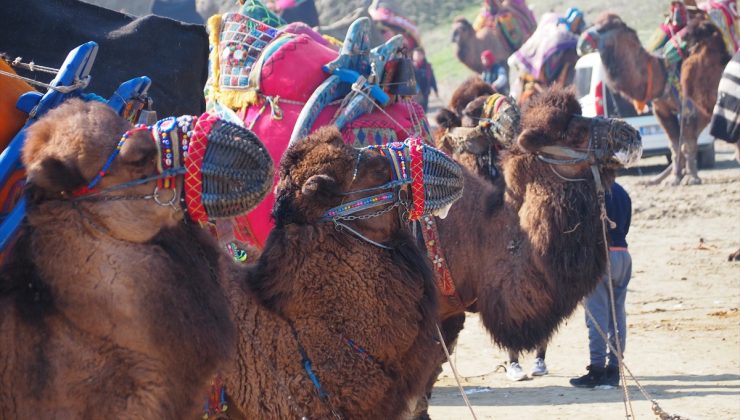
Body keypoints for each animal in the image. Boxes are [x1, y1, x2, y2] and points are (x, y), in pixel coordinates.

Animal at [580, 12, 728, 185]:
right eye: (592, 24)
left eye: (603, 28)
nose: (581, 41)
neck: (662, 73)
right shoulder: (662, 109)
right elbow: (675, 144)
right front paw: (674, 178)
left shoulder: (691, 107)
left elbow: (687, 143)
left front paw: (691, 178)